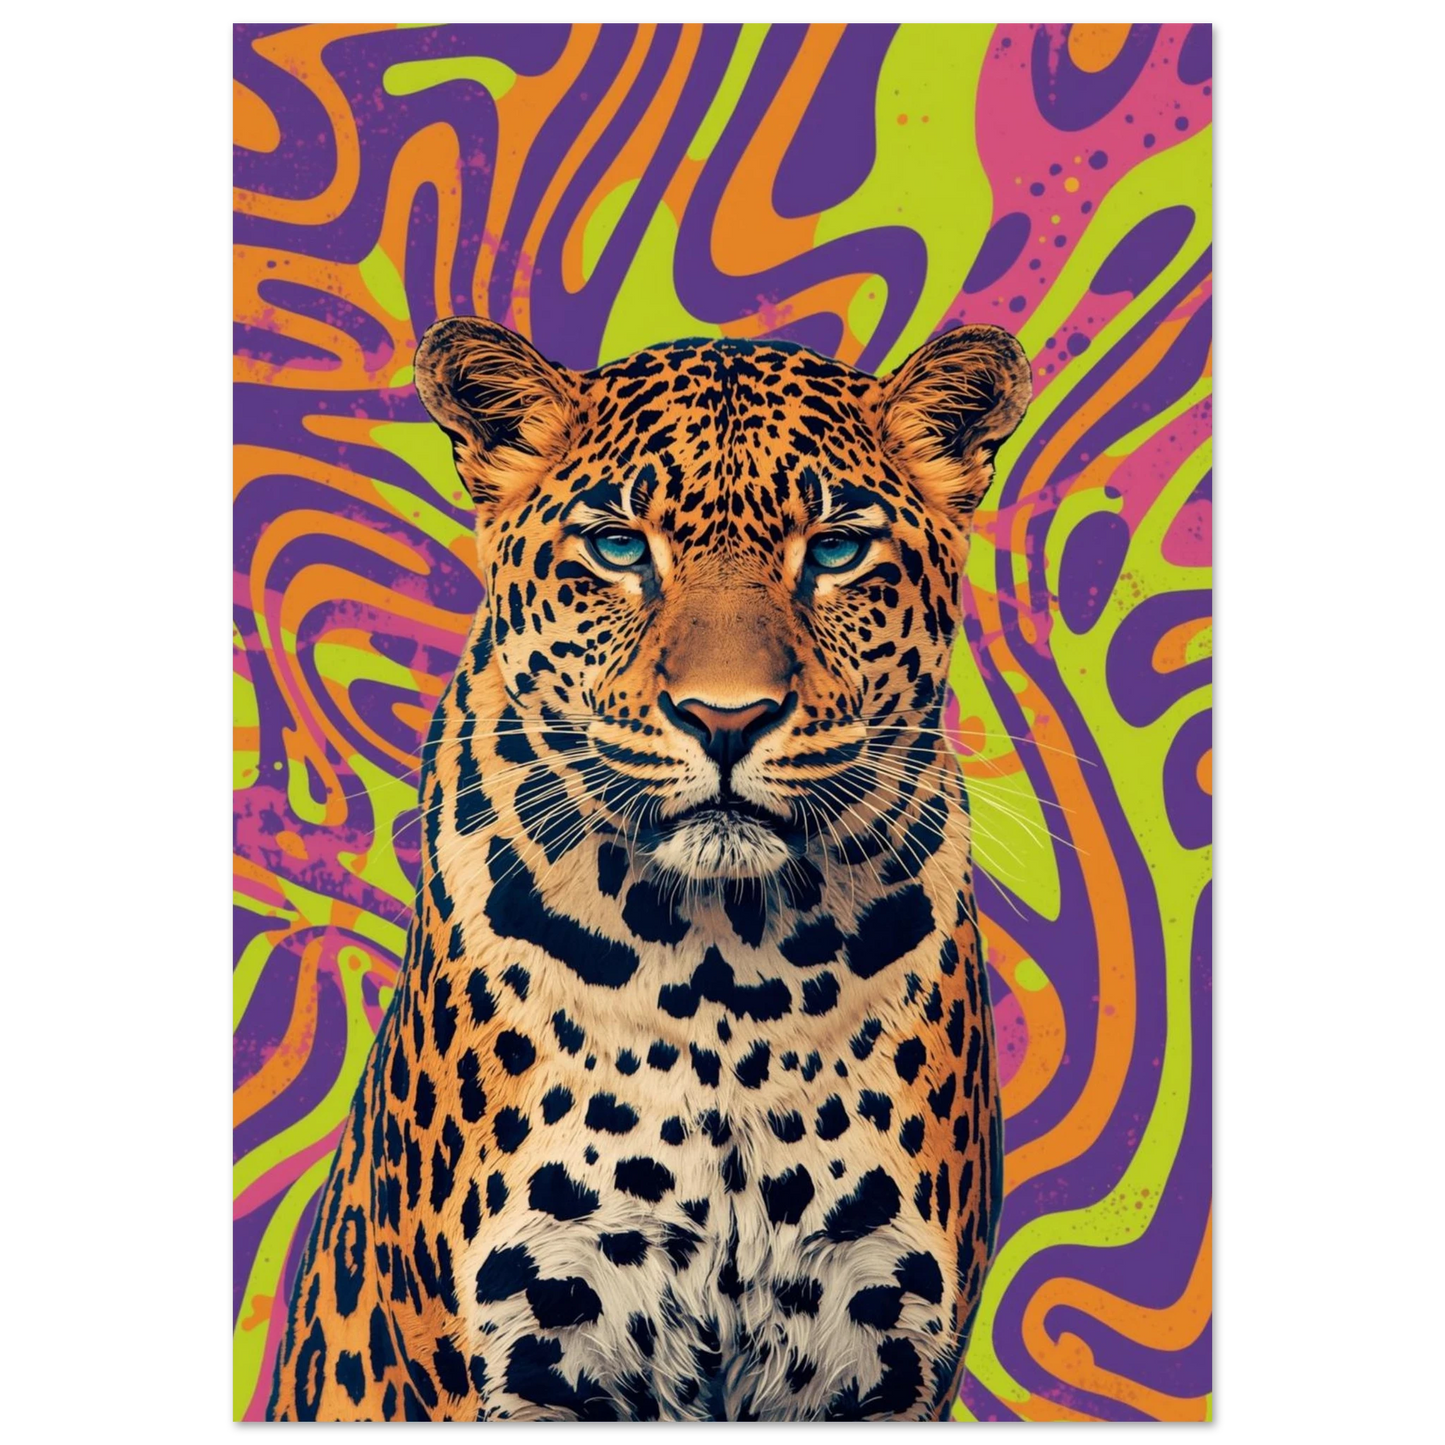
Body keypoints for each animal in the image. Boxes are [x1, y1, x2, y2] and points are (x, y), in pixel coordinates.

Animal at [264, 315, 1032, 1422]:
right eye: (619, 547)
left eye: (836, 548)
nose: (726, 717)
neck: (732, 971)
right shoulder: (538, 1337)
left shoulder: (877, 1351)